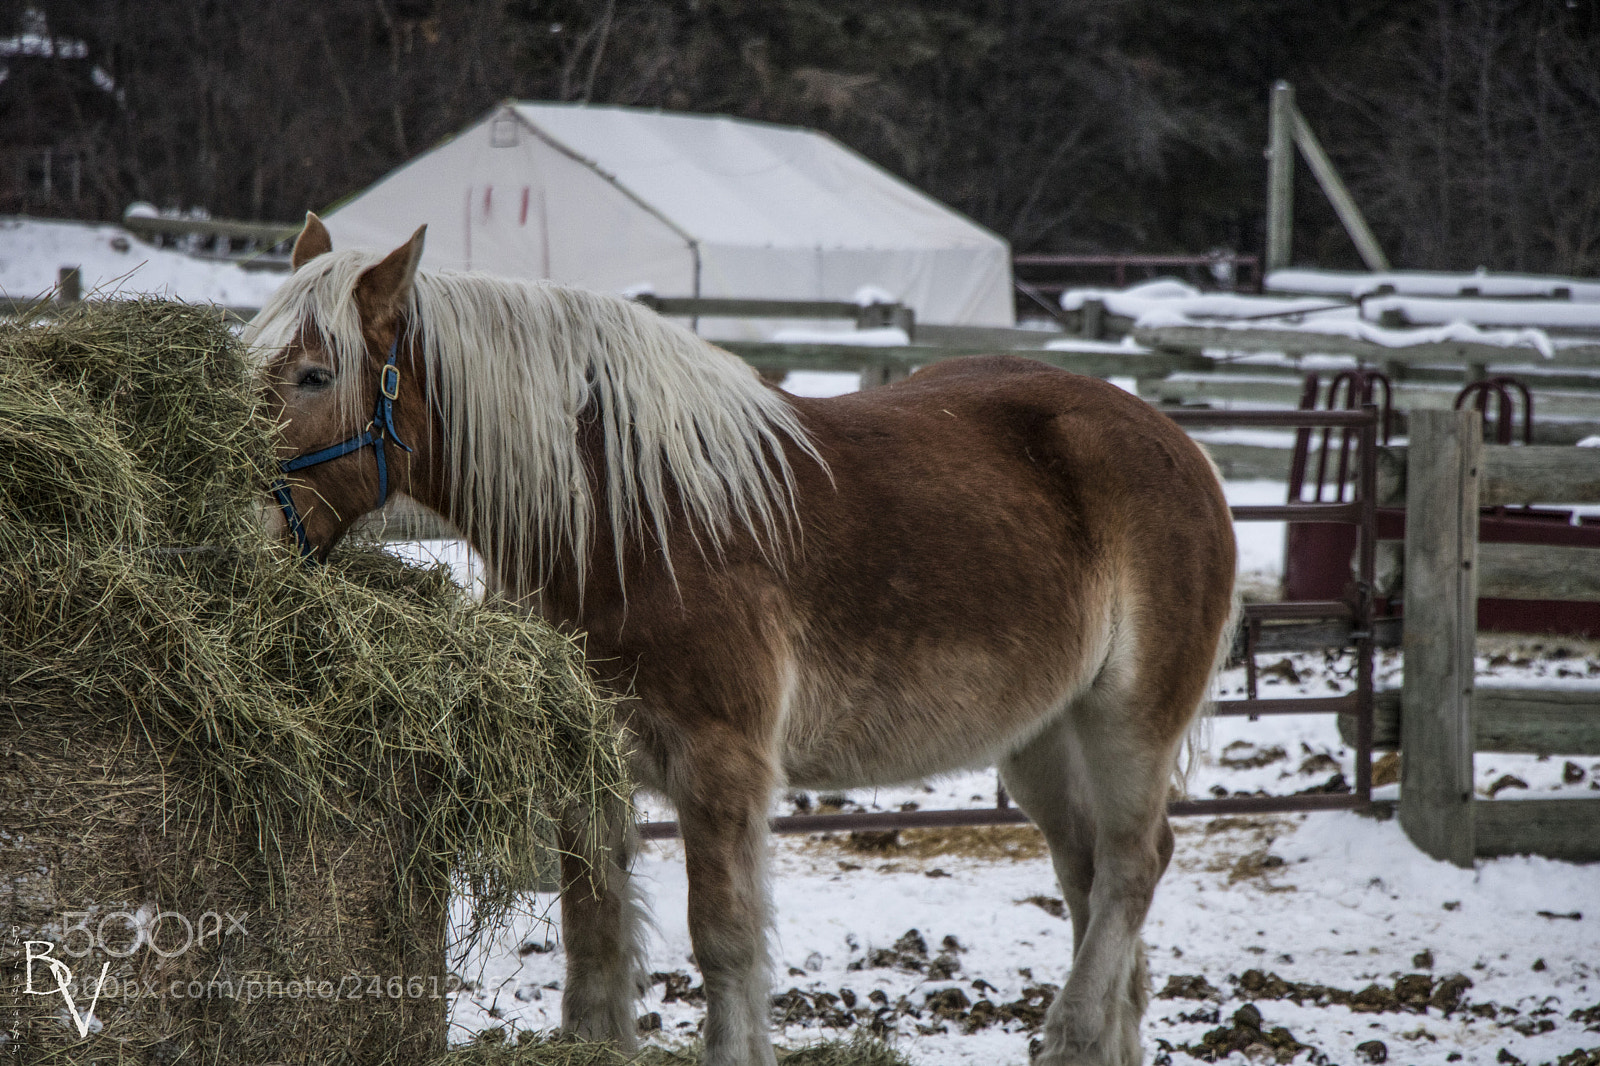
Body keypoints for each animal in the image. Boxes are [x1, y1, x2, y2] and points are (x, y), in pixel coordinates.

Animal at [249, 214, 1238, 1066]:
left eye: (311, 375)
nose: (244, 525)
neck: (625, 520)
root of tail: (1180, 447)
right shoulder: (589, 763)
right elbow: (593, 929)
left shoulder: (720, 766)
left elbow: (723, 940)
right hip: (1038, 739)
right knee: (1089, 878)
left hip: (1127, 725)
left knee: (1133, 867)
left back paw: (1069, 1033)